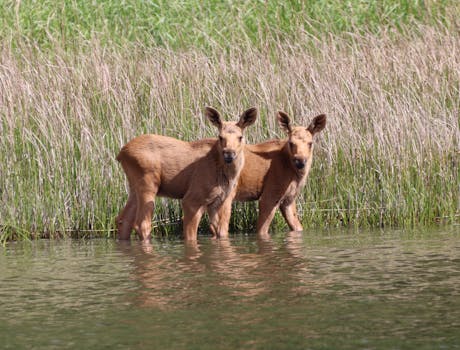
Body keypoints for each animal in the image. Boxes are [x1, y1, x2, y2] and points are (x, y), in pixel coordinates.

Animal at [115, 108, 256, 242]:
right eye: (220, 137)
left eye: (240, 137)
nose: (229, 154)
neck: (227, 177)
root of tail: (121, 154)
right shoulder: (191, 199)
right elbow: (190, 236)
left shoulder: (217, 202)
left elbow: (222, 233)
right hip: (148, 183)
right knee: (142, 224)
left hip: (134, 187)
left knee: (122, 219)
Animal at [210, 110, 326, 239]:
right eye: (291, 143)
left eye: (310, 143)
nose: (300, 161)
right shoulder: (270, 195)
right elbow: (262, 231)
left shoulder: (289, 199)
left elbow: (298, 227)